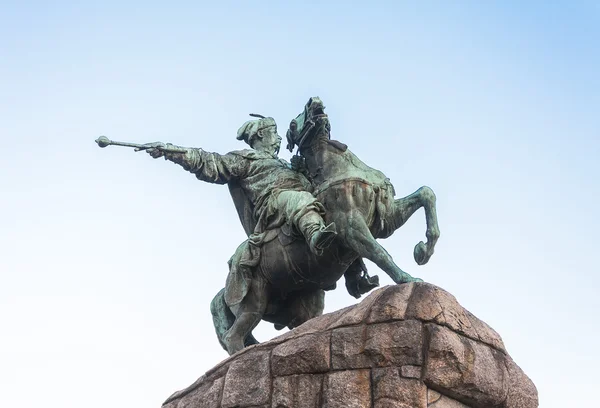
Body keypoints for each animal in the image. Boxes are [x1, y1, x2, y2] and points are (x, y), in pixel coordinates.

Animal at [209, 97, 438, 356]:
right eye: (292, 124)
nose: (314, 101)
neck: (338, 169)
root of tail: (225, 287)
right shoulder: (352, 228)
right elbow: (381, 253)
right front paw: (407, 278)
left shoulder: (386, 218)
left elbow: (426, 194)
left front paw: (423, 250)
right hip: (254, 301)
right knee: (233, 336)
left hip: (304, 303)